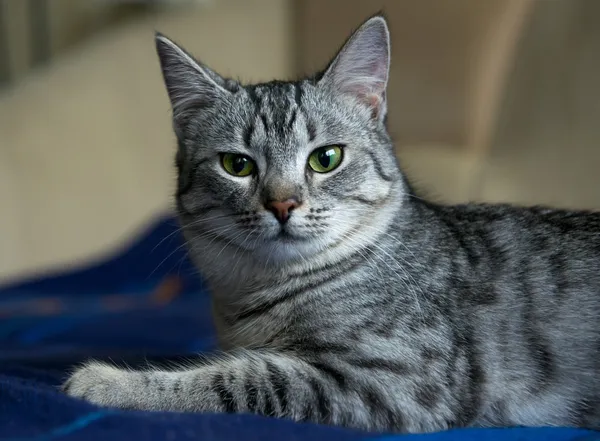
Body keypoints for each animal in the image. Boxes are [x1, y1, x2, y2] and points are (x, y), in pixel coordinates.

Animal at [62, 14, 600, 434]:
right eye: (237, 165)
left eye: (326, 158)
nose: (282, 203)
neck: (257, 296)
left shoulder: (397, 381)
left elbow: (241, 379)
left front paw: (108, 382)